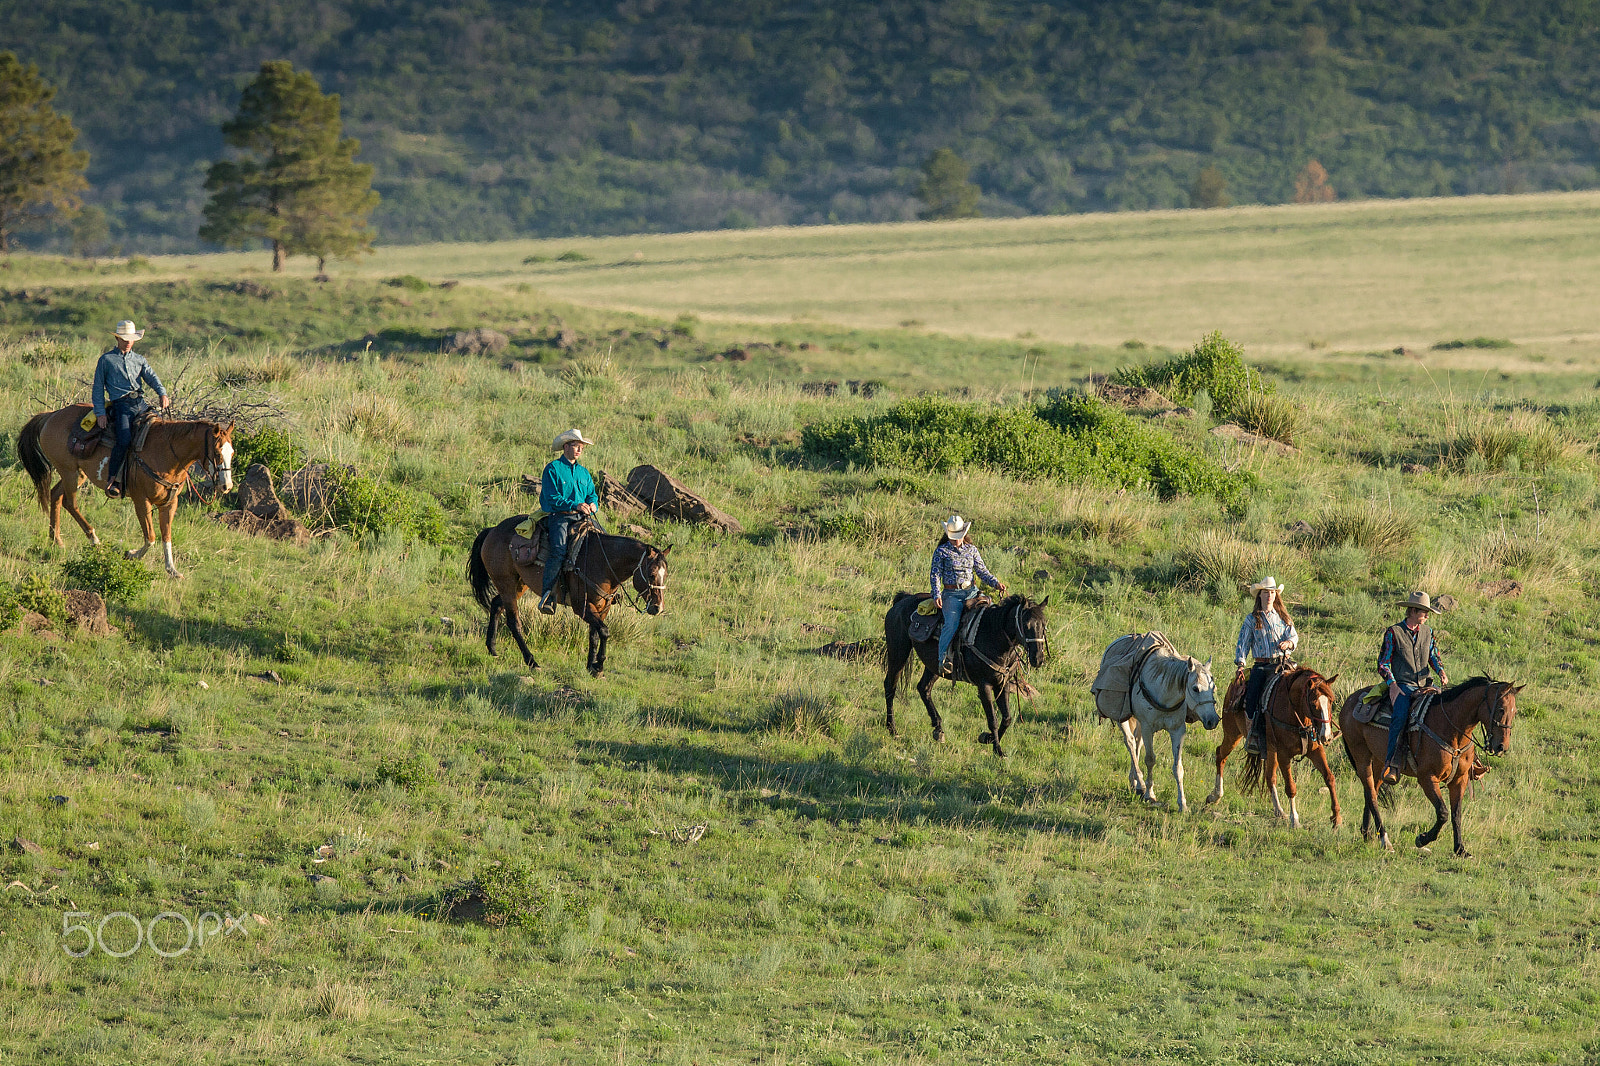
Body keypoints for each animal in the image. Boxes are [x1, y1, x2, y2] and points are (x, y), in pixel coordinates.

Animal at [18, 403, 233, 576]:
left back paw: (56, 540)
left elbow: (166, 536)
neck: (167, 453)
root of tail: (52, 415)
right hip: (69, 472)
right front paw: (131, 554)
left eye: (231, 452)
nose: (227, 486)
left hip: (77, 474)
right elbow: (151, 537)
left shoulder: (170, 503)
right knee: (70, 503)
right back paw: (94, 539)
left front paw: (172, 569)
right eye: (217, 453)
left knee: (55, 495)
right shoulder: (141, 500)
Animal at [464, 515, 668, 681]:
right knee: (514, 622)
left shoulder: (602, 608)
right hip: (506, 582)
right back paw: (532, 662)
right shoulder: (582, 607)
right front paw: (599, 666)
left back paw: (492, 648)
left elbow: (594, 634)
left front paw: (591, 667)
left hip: (518, 585)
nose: (657, 608)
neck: (603, 562)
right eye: (651, 574)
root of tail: (492, 530)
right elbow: (604, 631)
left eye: (665, 575)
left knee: (496, 605)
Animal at [876, 589, 1049, 755]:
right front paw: (997, 750)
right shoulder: (984, 685)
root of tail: (903, 600)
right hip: (898, 653)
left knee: (923, 688)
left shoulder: (1002, 684)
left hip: (935, 666)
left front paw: (988, 739)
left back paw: (938, 729)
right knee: (890, 687)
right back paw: (892, 729)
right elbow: (992, 719)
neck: (993, 635)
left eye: (1044, 625)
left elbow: (1006, 718)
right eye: (1026, 624)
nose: (1038, 658)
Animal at [1203, 665, 1344, 832]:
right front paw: (1295, 820)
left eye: (1331, 701)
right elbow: (1291, 787)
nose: (1327, 736)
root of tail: (1235, 683)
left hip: (1270, 749)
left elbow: (1329, 778)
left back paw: (1279, 811)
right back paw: (1215, 796)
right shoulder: (1284, 755)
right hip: (1233, 734)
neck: (1295, 714)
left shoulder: (1315, 750)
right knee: (1220, 755)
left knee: (1270, 777)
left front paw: (1336, 818)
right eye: (1313, 703)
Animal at [1337, 672, 1523, 857]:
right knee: (1371, 795)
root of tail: (1350, 700)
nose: (1502, 747)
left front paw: (1460, 849)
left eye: (1514, 712)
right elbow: (1443, 813)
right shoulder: (1427, 778)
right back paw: (1384, 839)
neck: (1451, 728)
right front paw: (1423, 839)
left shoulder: (1460, 779)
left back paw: (1367, 834)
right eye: (1501, 709)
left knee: (1372, 792)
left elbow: (1456, 814)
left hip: (1380, 761)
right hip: (1361, 757)